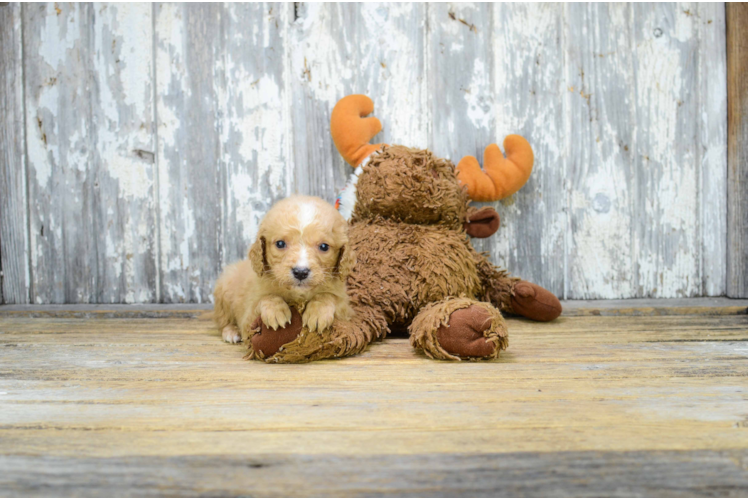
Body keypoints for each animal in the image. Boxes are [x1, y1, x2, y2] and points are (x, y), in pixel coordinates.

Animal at [213, 195, 354, 344]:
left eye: (324, 246)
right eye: (280, 243)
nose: (300, 272)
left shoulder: (347, 310)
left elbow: (329, 296)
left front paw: (318, 313)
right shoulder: (248, 318)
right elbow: (266, 298)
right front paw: (276, 311)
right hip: (224, 290)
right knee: (222, 320)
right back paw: (231, 331)